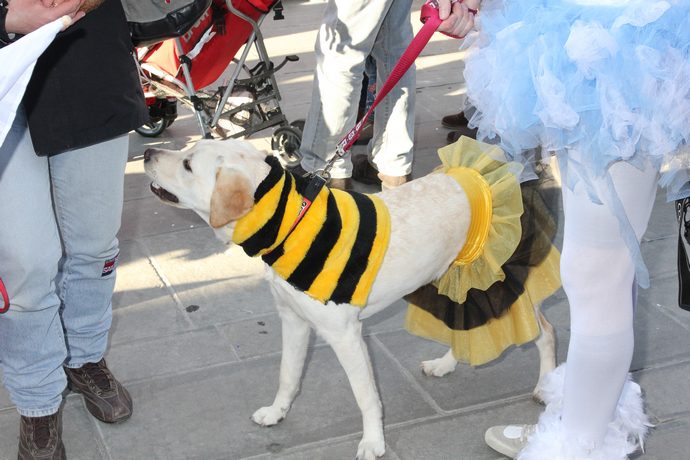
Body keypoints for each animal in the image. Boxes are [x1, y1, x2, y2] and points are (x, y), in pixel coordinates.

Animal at [143, 138, 557, 460]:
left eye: (187, 163)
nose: (146, 152)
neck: (290, 223)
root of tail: (514, 174)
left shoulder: (346, 337)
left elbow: (366, 396)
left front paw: (374, 442)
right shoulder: (293, 321)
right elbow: (287, 376)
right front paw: (277, 413)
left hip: (499, 284)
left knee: (547, 332)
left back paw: (545, 389)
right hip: (455, 278)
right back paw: (445, 365)